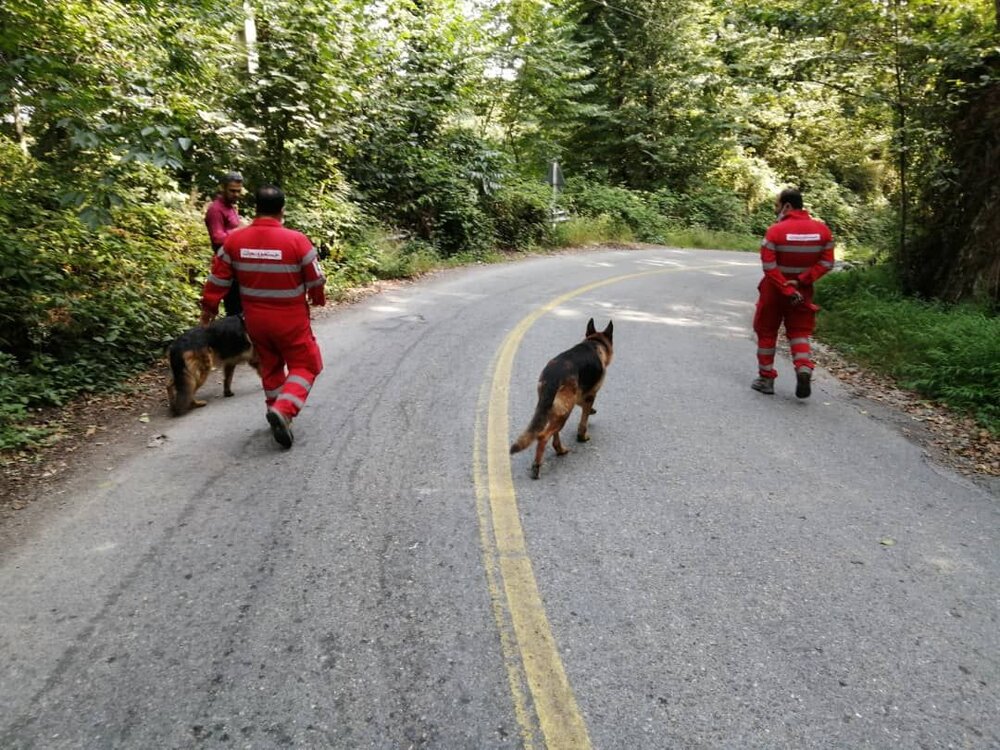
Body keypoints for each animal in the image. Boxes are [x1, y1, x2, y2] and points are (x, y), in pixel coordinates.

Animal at [512, 318, 612, 482]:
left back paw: (560, 449)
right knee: (543, 436)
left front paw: (592, 411)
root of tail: (553, 375)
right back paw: (537, 466)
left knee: (554, 433)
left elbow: (584, 407)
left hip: (555, 410)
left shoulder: (581, 395)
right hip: (565, 411)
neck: (595, 342)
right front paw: (582, 436)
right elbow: (583, 420)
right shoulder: (590, 395)